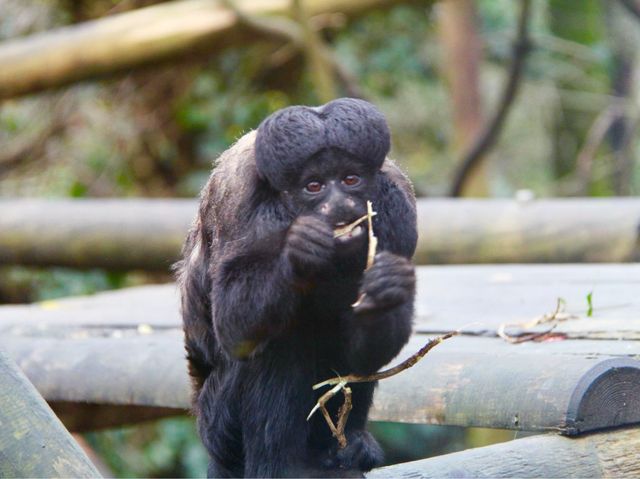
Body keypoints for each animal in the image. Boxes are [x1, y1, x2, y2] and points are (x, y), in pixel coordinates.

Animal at [178, 98, 418, 479]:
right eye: (314, 186)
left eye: (350, 179)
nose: (340, 205)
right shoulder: (240, 200)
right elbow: (234, 327)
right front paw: (299, 253)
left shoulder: (398, 211)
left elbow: (363, 357)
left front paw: (388, 288)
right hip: (219, 426)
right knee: (280, 341)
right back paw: (282, 465)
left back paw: (349, 448)